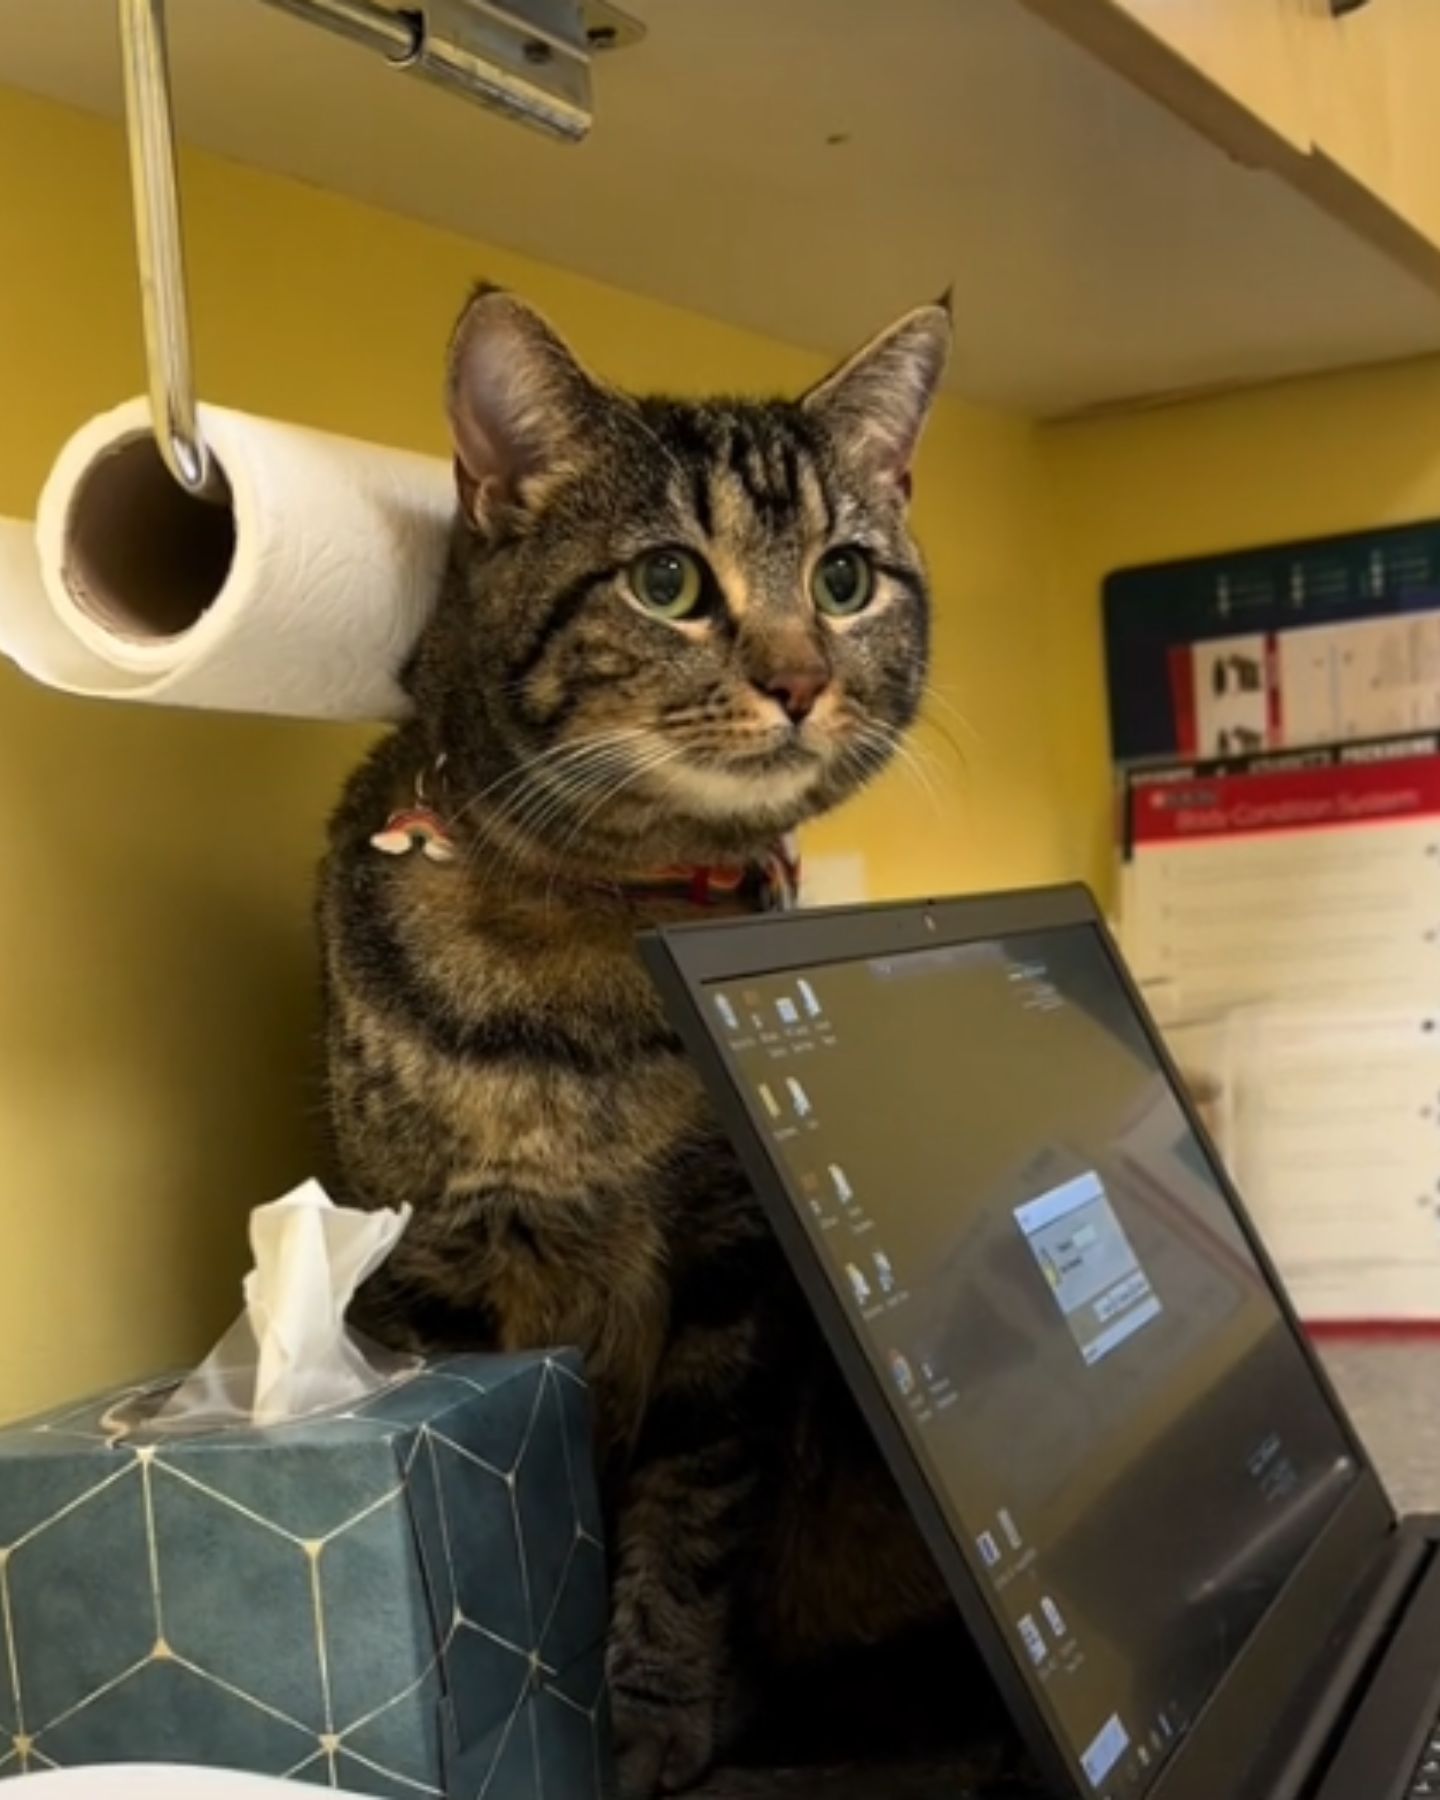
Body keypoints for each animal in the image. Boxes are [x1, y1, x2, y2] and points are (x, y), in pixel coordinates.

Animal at [318, 288, 1015, 1792]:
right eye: (669, 584)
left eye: (845, 579)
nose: (802, 680)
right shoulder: (437, 1278)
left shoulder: (731, 1282)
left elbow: (688, 1517)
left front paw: (652, 1711)